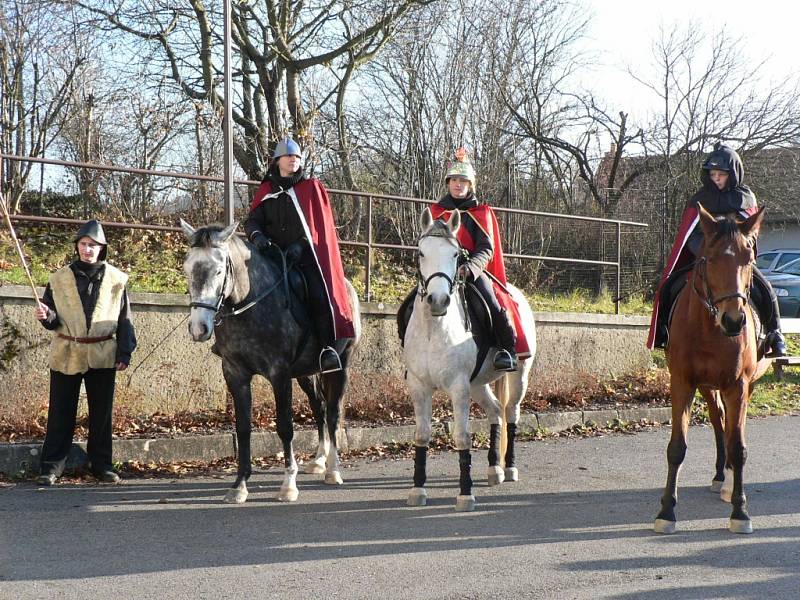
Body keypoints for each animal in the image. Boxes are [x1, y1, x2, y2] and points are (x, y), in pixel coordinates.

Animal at [180, 220, 360, 502]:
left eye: (219, 271)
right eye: (187, 268)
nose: (199, 328)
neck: (250, 306)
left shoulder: (279, 374)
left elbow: (285, 427)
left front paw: (288, 485)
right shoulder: (235, 374)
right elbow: (243, 427)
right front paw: (240, 485)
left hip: (339, 367)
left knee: (333, 413)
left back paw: (333, 469)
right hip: (307, 373)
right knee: (319, 408)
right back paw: (319, 461)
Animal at [404, 206, 536, 510]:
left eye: (456, 255)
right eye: (421, 253)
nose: (438, 300)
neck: (435, 330)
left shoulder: (458, 387)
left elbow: (462, 437)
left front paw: (465, 493)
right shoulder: (419, 386)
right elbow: (422, 435)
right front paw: (418, 490)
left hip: (519, 374)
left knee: (511, 412)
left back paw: (509, 467)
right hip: (478, 384)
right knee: (496, 411)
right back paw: (494, 469)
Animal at [652, 205, 772, 536]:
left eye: (749, 258)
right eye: (709, 258)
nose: (734, 320)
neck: (710, 329)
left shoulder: (739, 385)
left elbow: (739, 446)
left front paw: (740, 512)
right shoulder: (682, 383)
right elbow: (677, 447)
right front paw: (667, 511)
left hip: (745, 385)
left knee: (732, 429)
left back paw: (729, 484)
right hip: (708, 387)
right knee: (720, 423)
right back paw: (721, 476)